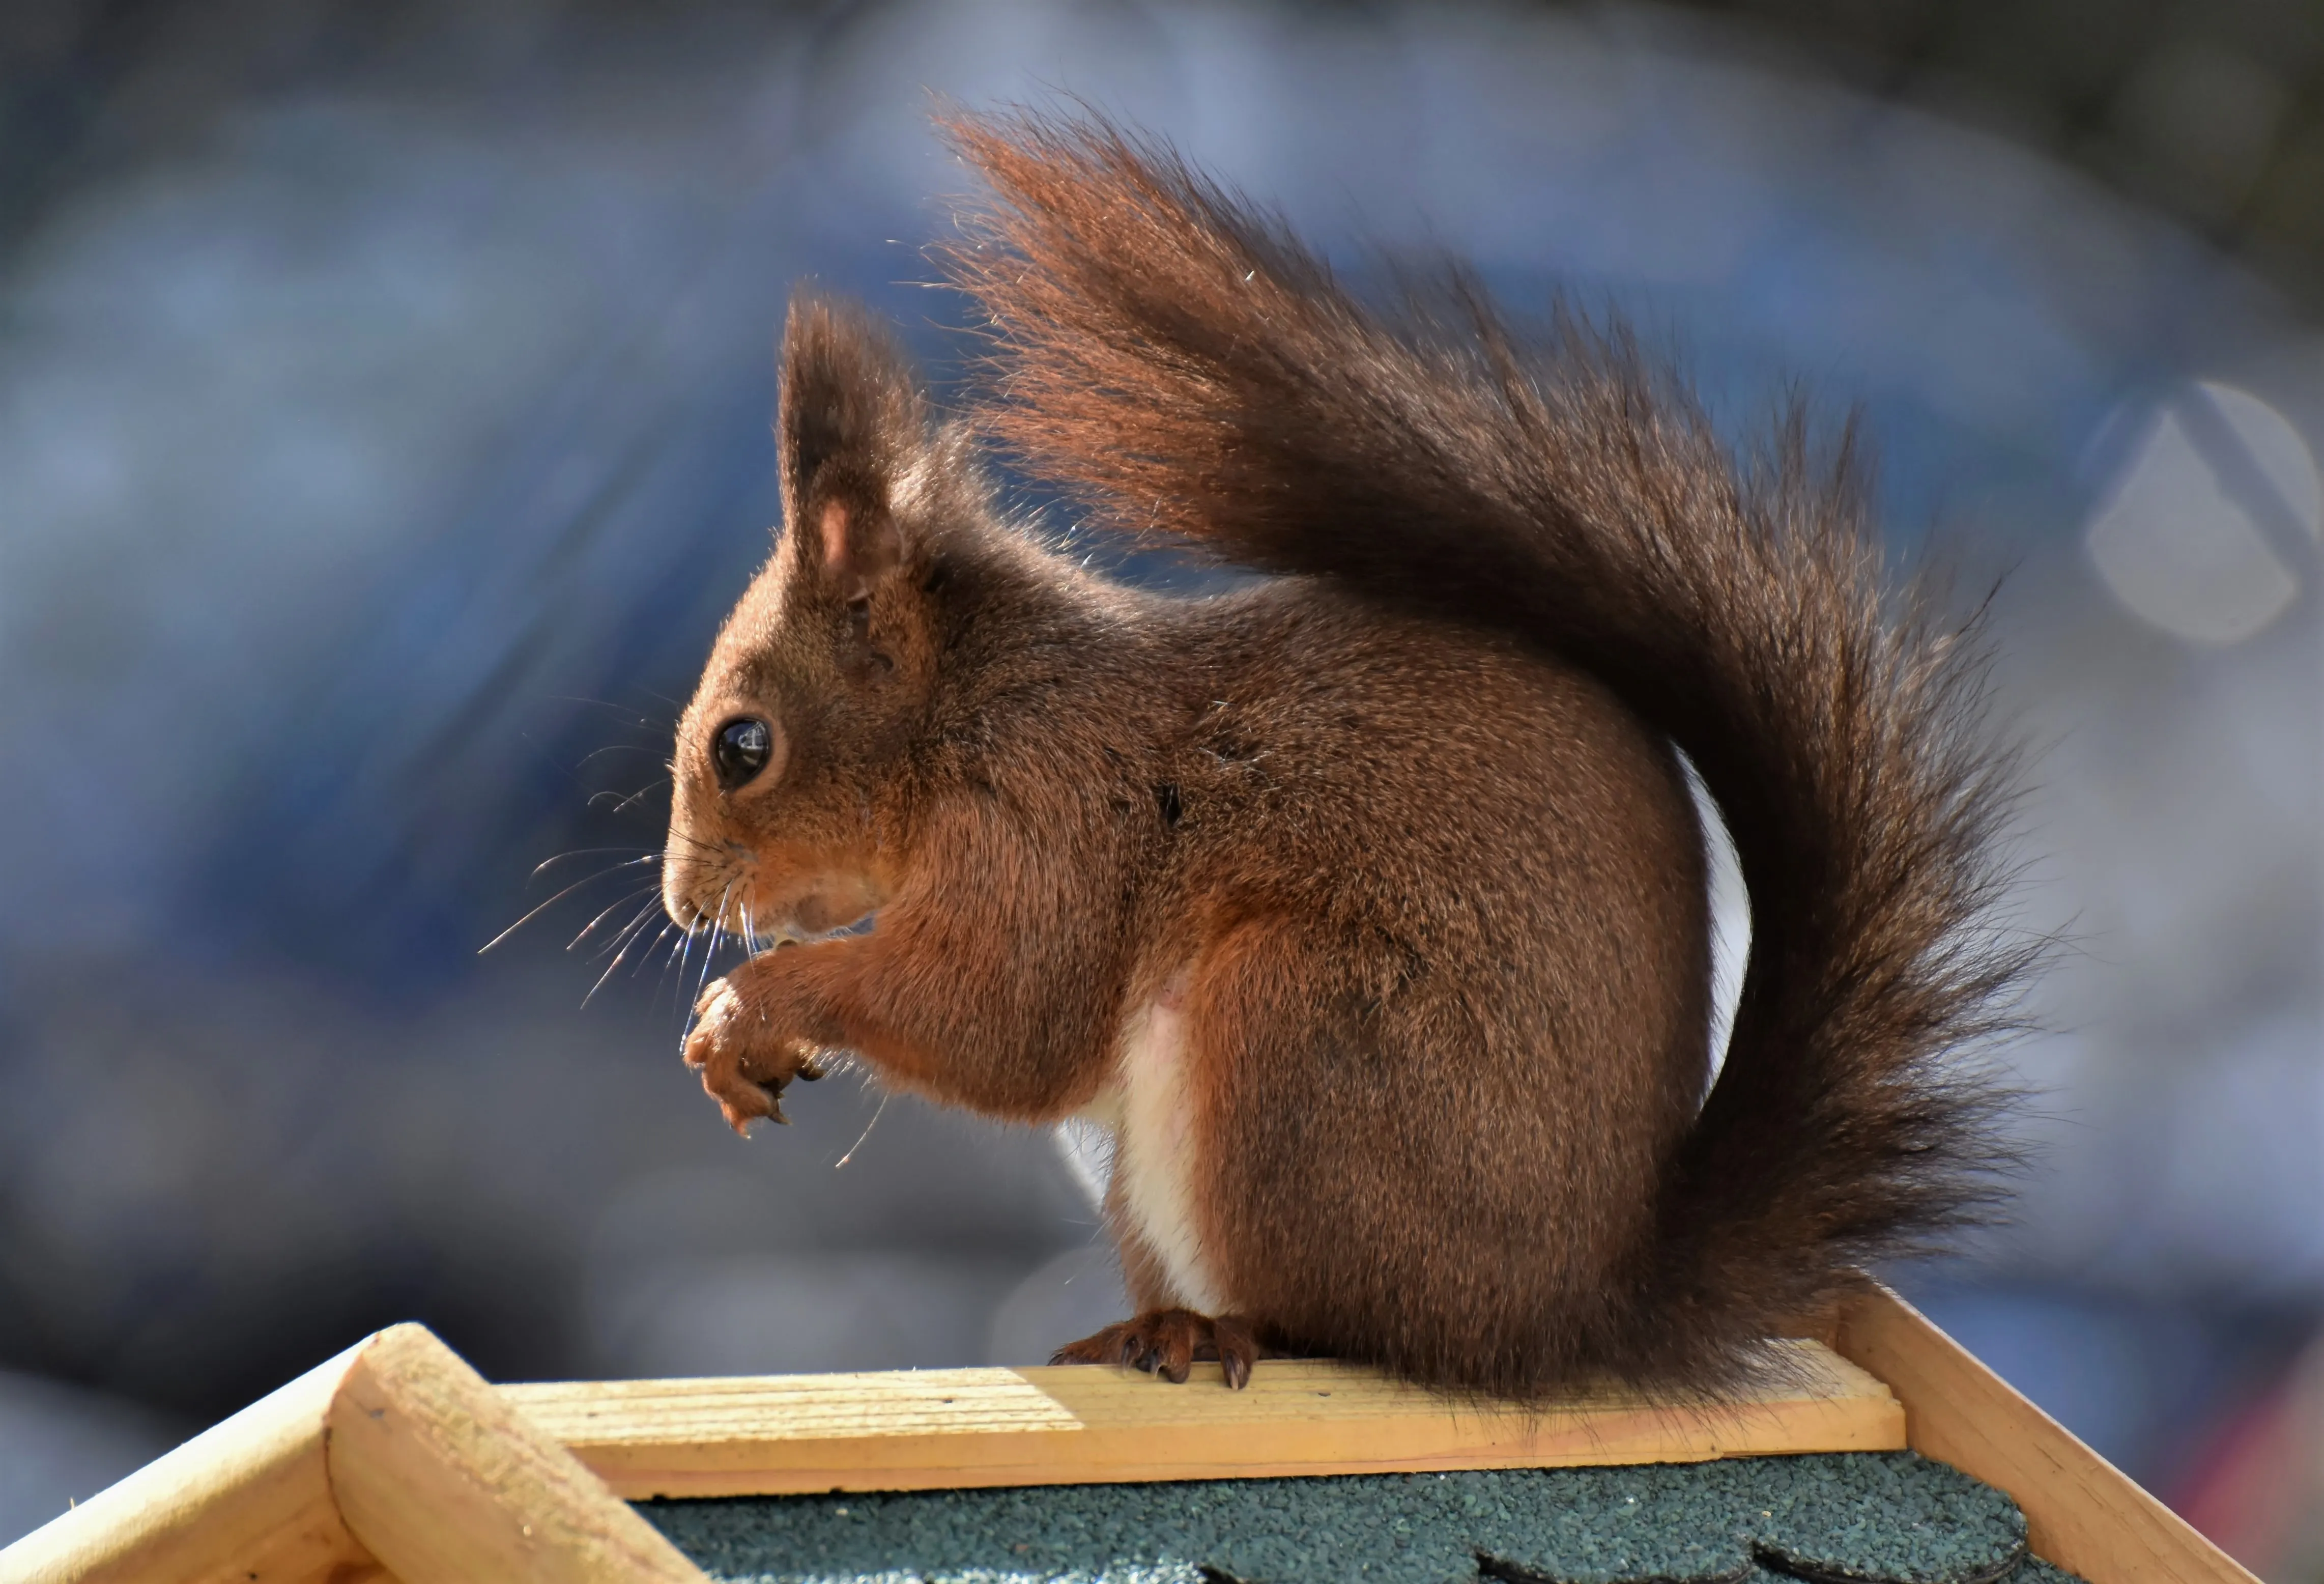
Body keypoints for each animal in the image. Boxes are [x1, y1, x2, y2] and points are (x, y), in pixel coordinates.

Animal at [657, 108, 2031, 1400]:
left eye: (743, 744)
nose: (681, 903)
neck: (969, 707)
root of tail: (1569, 1318)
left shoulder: (1056, 810)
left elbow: (1002, 1012)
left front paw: (752, 1005)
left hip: (1297, 1029)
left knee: (1348, 1328)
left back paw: (1213, 1329)